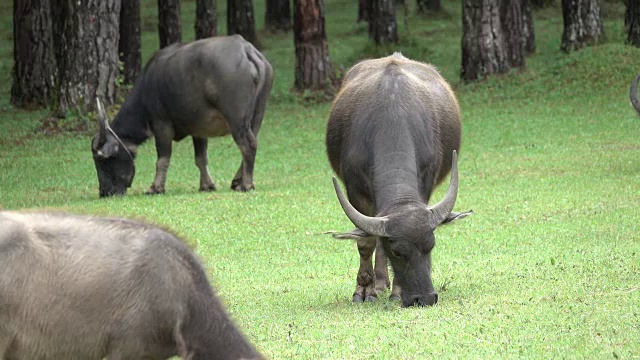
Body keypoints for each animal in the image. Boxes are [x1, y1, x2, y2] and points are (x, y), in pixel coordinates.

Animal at [91, 34, 272, 197]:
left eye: (102, 161)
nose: (104, 192)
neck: (145, 91)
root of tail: (247, 50)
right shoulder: (199, 130)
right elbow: (201, 158)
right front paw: (206, 185)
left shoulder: (161, 124)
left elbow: (162, 160)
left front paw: (155, 188)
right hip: (257, 115)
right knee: (252, 142)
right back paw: (238, 181)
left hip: (236, 119)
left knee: (248, 145)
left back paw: (245, 184)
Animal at [324, 52, 470, 306]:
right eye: (398, 252)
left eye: (431, 246)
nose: (425, 297)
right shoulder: (355, 192)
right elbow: (367, 242)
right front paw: (364, 290)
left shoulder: (425, 184)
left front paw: (398, 292)